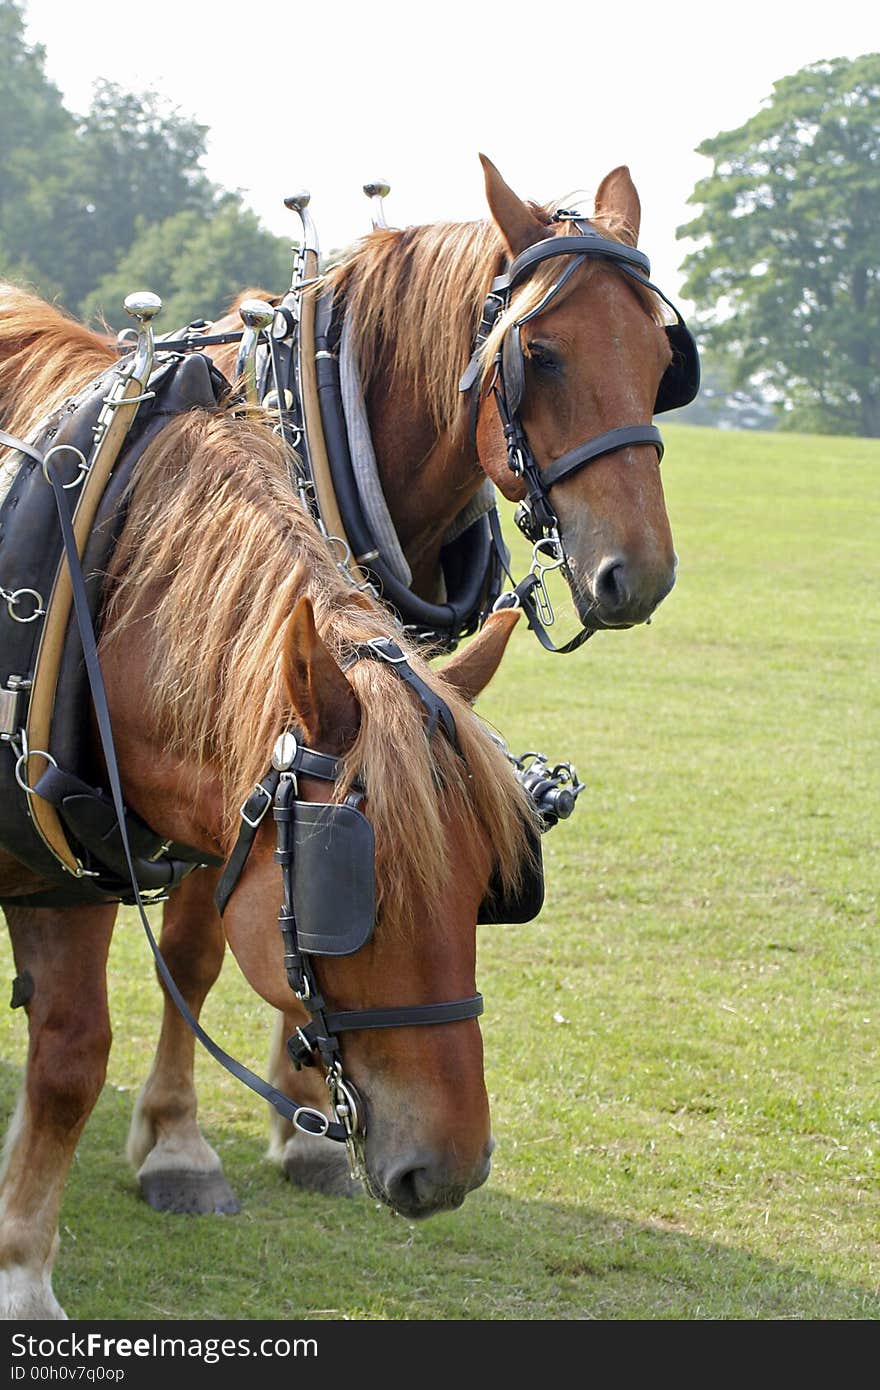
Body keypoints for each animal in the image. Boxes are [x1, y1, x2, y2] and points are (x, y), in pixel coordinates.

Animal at [0, 282, 531, 1312]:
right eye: (348, 894)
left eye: (490, 888)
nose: (453, 1169)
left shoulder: (65, 874)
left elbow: (72, 1061)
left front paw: (20, 1273)